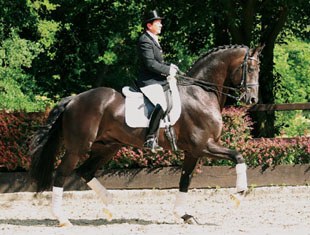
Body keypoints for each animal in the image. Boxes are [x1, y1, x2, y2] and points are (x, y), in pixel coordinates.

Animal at [29, 44, 264, 226]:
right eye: (250, 68)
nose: (252, 100)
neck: (200, 94)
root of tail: (74, 99)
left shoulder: (193, 152)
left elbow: (185, 181)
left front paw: (184, 215)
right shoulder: (204, 145)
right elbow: (238, 156)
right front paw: (239, 194)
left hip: (108, 146)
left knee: (86, 171)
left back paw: (111, 207)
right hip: (78, 148)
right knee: (62, 174)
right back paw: (63, 218)